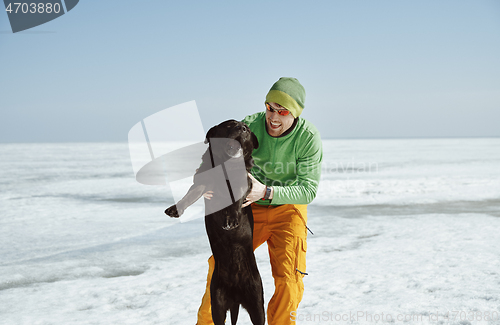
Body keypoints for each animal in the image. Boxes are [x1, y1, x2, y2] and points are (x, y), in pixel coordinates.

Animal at [164, 119, 266, 324]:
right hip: (217, 303)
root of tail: (236, 296)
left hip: (257, 304)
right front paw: (175, 209)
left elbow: (235, 200)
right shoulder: (203, 182)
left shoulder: (244, 184)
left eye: (247, 128)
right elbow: (190, 194)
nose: (243, 128)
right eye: (229, 125)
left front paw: (232, 218)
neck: (225, 165)